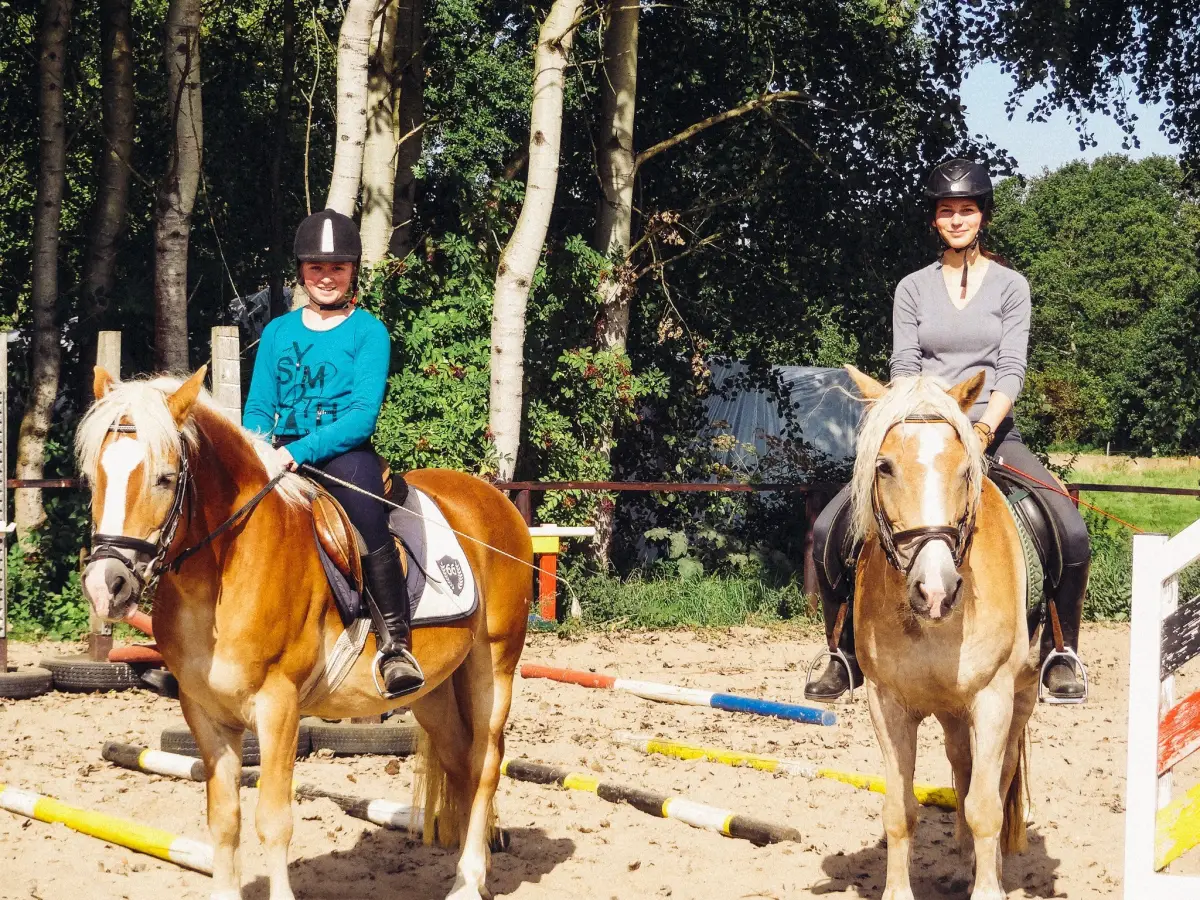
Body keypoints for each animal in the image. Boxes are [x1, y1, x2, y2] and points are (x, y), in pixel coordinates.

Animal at [75, 366, 533, 900]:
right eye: (94, 477)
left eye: (165, 479)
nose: (107, 584)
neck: (225, 574)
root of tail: (494, 499)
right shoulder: (203, 711)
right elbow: (223, 819)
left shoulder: (278, 706)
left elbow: (273, 820)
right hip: (434, 692)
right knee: (462, 760)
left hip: (494, 664)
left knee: (486, 761)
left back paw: (468, 879)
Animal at [844, 366, 1038, 900]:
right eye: (884, 466)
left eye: (965, 469)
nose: (936, 591)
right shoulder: (886, 701)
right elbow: (900, 809)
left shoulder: (993, 697)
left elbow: (986, 807)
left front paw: (988, 890)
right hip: (952, 712)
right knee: (962, 767)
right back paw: (961, 865)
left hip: (1022, 694)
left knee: (997, 778)